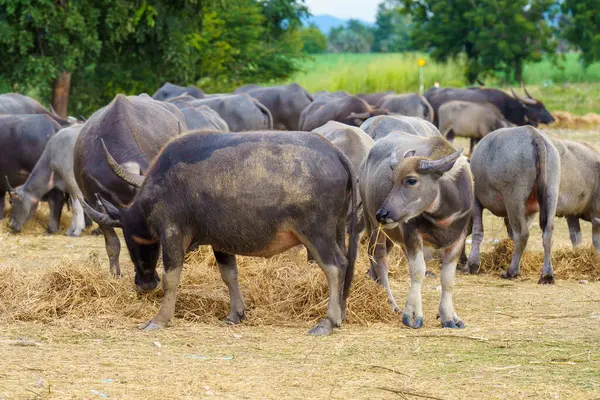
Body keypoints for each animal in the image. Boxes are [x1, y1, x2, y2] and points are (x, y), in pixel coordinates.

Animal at [82, 130, 358, 334]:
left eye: (131, 238)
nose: (144, 283)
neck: (163, 186)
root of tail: (335, 153)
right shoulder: (221, 243)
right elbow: (229, 275)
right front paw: (235, 314)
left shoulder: (172, 233)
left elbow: (171, 278)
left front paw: (159, 319)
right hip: (337, 229)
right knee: (345, 264)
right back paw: (341, 313)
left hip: (316, 234)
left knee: (335, 266)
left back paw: (327, 322)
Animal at [358, 132, 472, 328]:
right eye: (391, 181)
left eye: (411, 180)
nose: (382, 213)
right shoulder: (412, 234)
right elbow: (418, 271)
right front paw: (412, 314)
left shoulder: (459, 238)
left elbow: (448, 279)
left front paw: (449, 316)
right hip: (374, 226)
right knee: (379, 259)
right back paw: (391, 304)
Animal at [466, 126, 560, 282]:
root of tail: (534, 135)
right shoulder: (529, 211)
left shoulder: (476, 203)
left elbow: (477, 231)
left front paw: (472, 264)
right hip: (551, 193)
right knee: (548, 232)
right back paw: (546, 275)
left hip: (513, 200)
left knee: (522, 234)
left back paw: (511, 271)